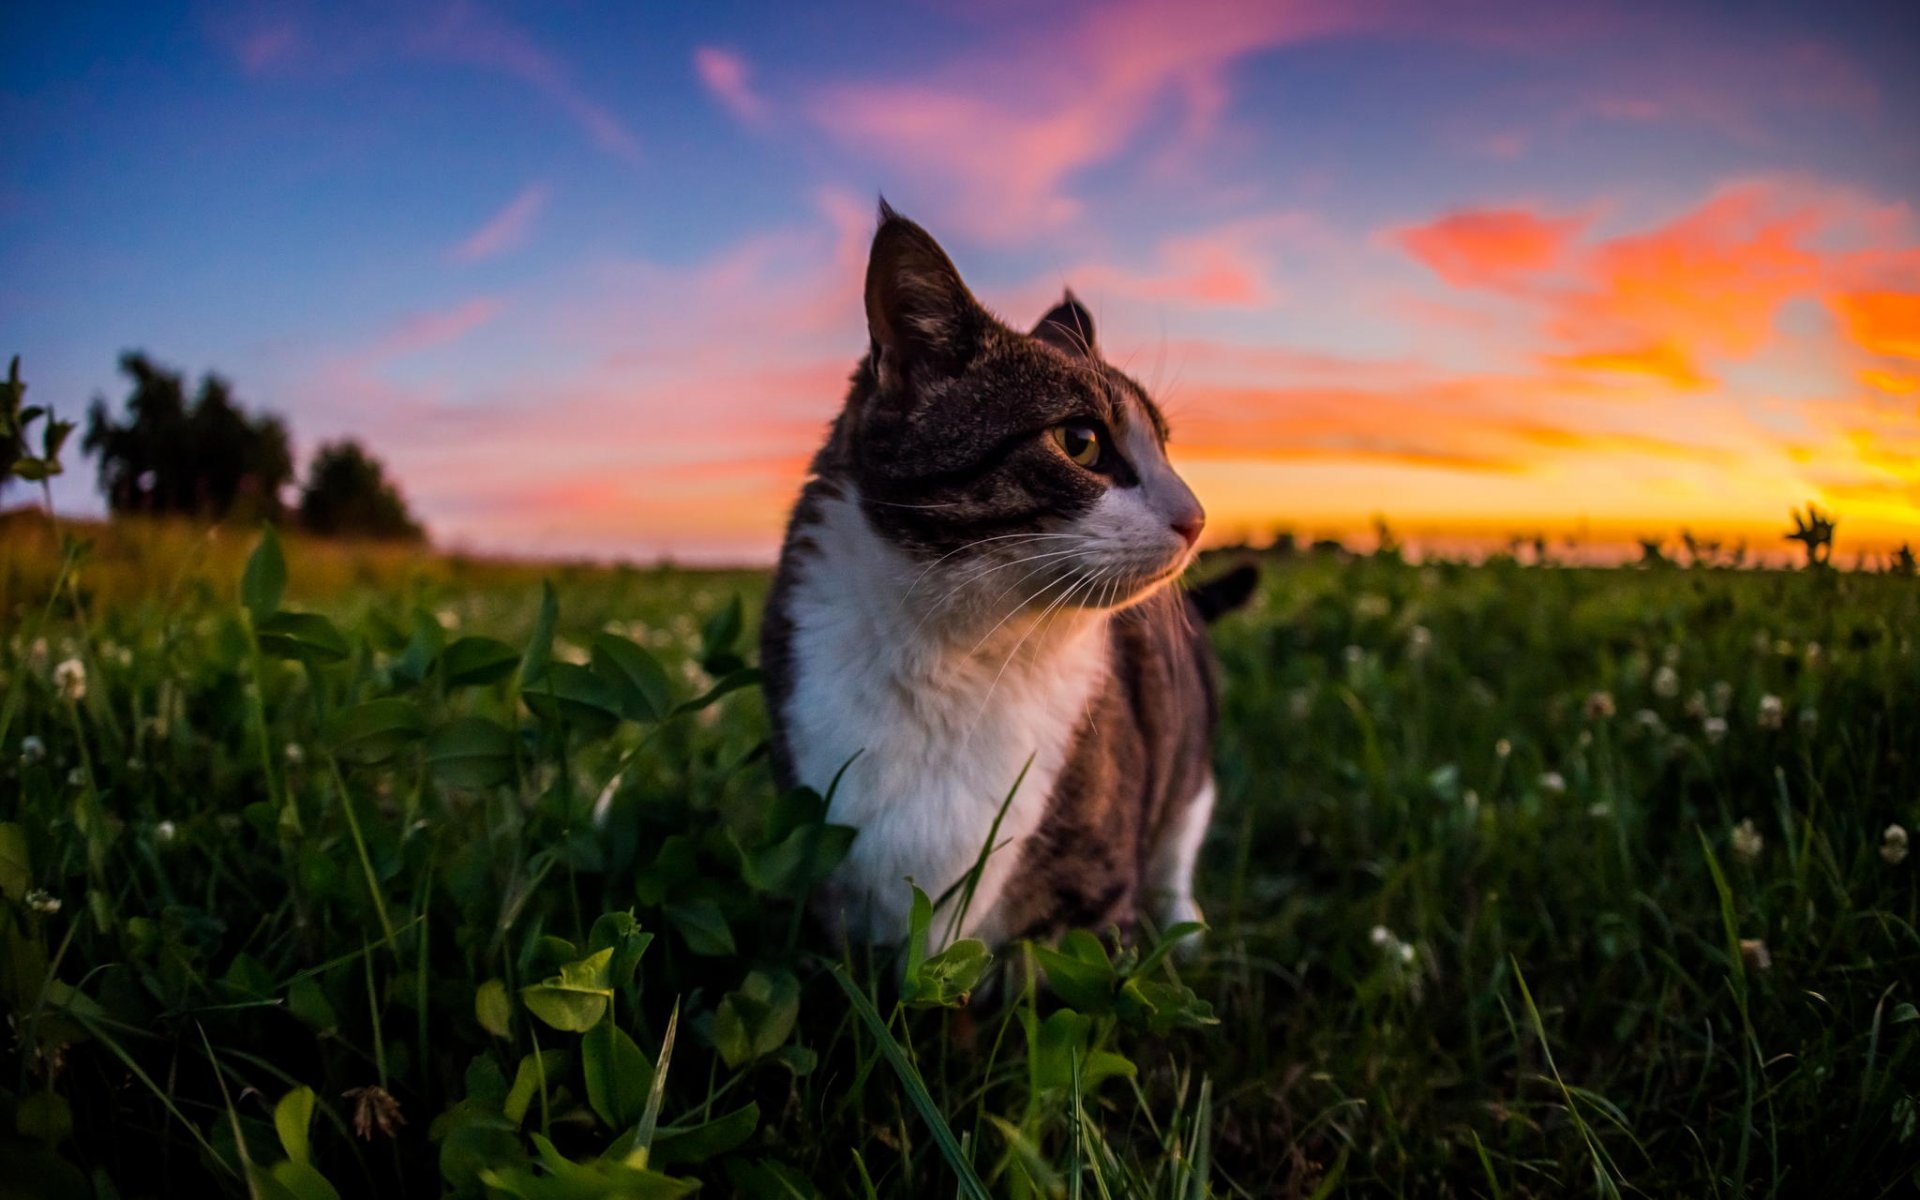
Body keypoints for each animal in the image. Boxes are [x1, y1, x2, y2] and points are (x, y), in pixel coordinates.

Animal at [764, 208, 1259, 956]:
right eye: (1080, 440)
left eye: (1167, 447)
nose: (1197, 519)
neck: (957, 658)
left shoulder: (1089, 906)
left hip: (1187, 753)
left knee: (1178, 843)